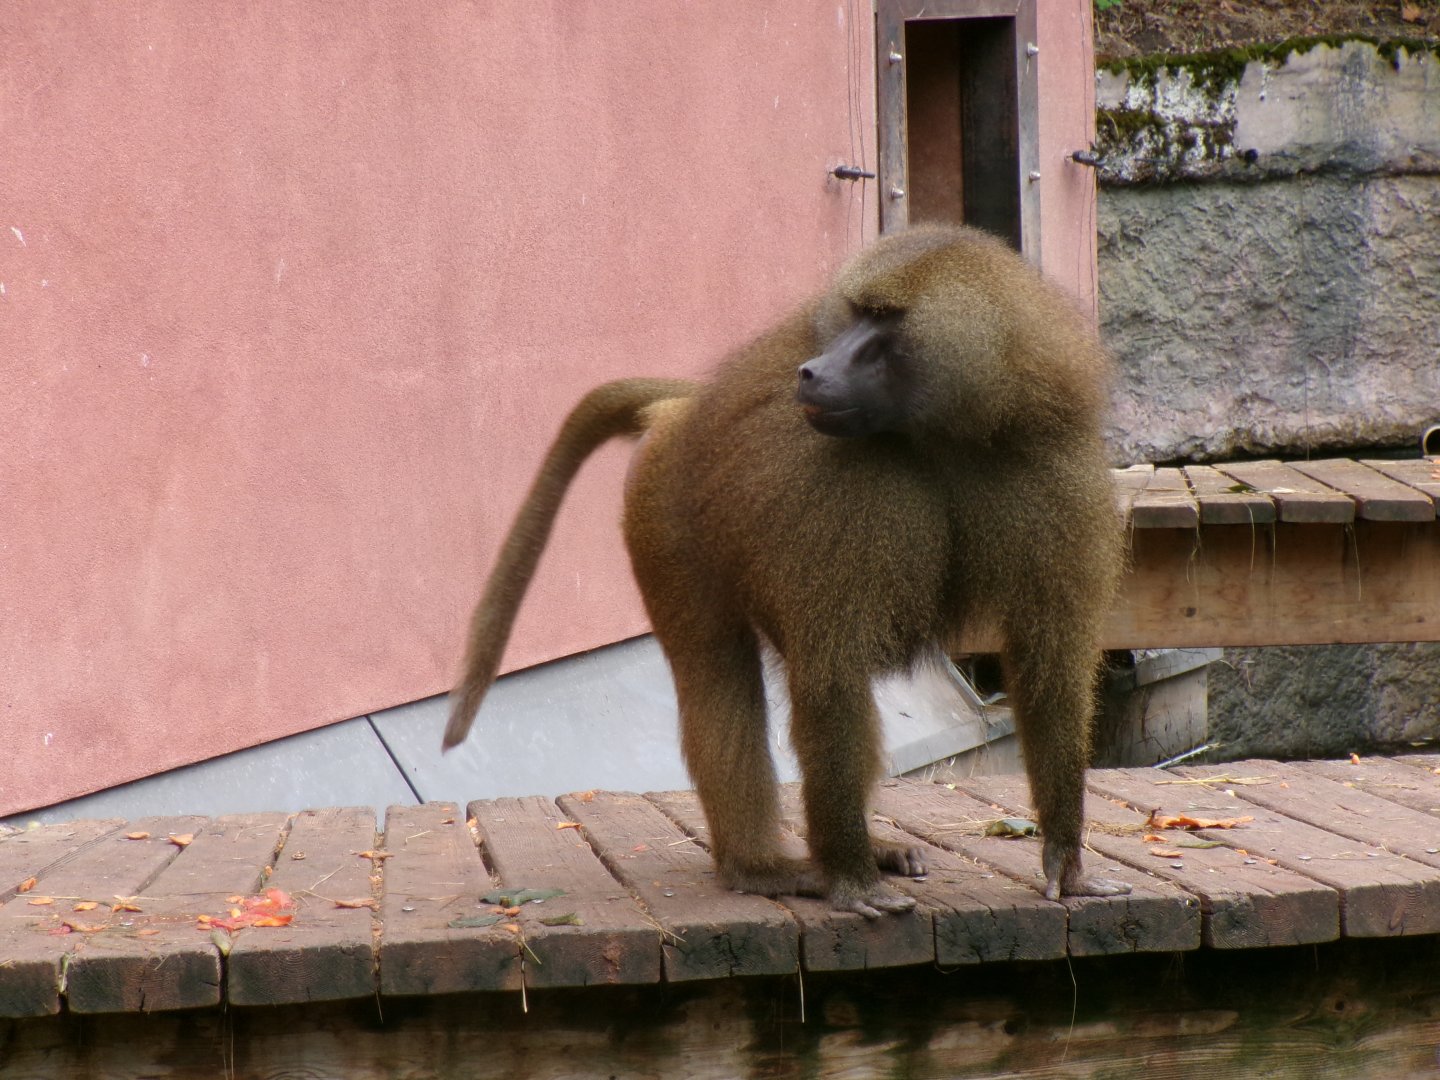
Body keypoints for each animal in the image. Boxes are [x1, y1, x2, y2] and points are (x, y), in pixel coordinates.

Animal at [445, 224, 1130, 916]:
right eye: (855, 314)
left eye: (883, 322)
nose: (813, 370)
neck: (942, 434)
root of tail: (685, 409)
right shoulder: (848, 493)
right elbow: (831, 674)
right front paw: (852, 880)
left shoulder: (1048, 469)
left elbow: (1049, 664)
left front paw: (1066, 859)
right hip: (663, 512)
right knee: (718, 678)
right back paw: (764, 867)